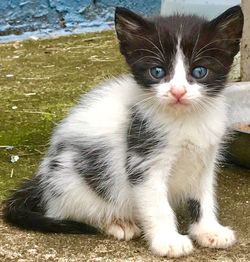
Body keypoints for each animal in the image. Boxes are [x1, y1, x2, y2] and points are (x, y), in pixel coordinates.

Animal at [2, 5, 243, 256]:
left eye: (199, 71)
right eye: (157, 72)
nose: (178, 92)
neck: (185, 119)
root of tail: (43, 180)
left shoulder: (205, 158)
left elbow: (203, 197)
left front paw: (209, 231)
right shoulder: (143, 156)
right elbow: (157, 205)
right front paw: (169, 240)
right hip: (72, 180)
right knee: (69, 210)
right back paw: (116, 222)